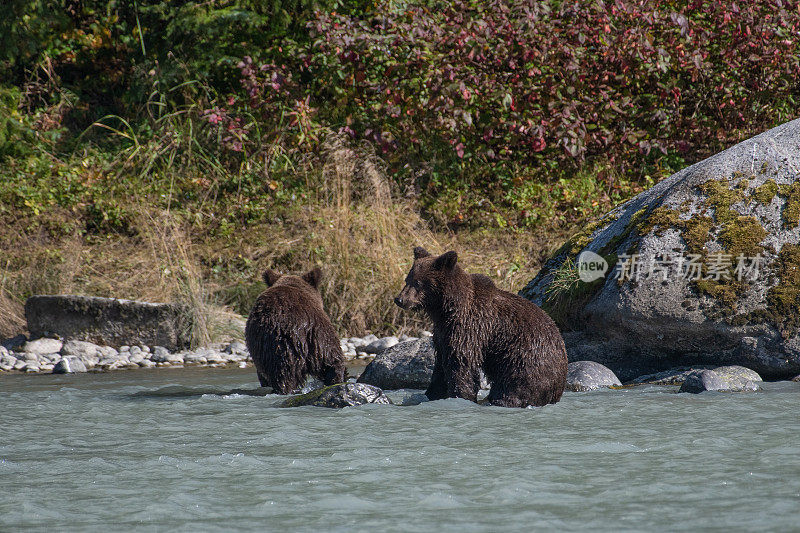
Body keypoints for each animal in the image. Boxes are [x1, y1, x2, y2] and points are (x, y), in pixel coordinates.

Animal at [394, 247, 568, 406]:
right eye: (407, 279)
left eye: (418, 283)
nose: (399, 299)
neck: (446, 308)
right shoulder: (443, 332)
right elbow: (441, 365)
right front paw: (432, 393)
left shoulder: (469, 327)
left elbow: (461, 362)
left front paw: (461, 395)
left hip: (524, 359)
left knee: (517, 386)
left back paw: (503, 399)